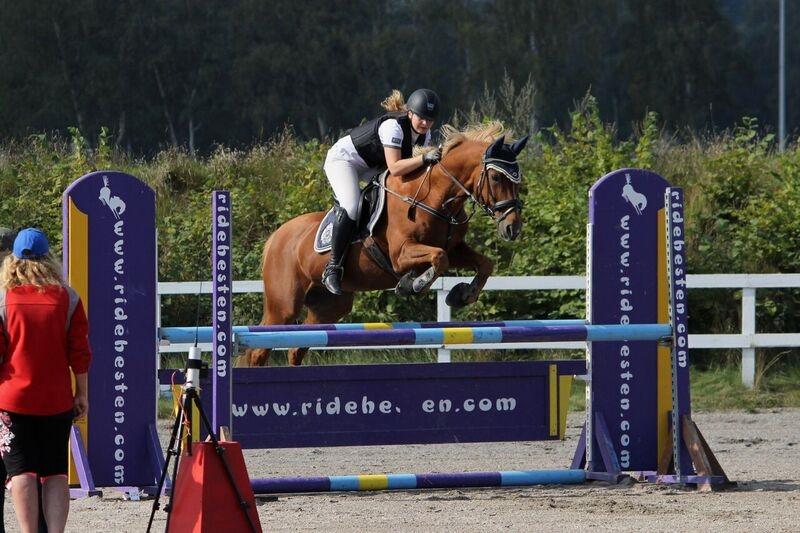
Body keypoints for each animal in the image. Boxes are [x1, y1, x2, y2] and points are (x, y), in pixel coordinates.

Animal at [247, 124, 528, 366]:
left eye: (517, 180)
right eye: (495, 178)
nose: (512, 228)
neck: (435, 197)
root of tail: (276, 237)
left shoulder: (456, 248)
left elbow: (483, 263)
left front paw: (462, 294)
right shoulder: (401, 254)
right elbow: (439, 258)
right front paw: (413, 284)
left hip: (328, 307)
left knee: (296, 347)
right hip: (283, 305)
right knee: (259, 349)